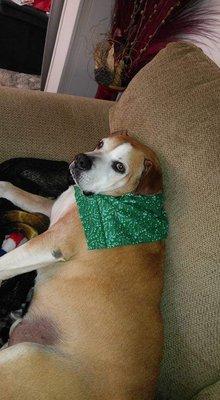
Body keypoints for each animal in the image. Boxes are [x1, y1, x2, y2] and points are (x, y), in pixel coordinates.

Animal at [0, 133, 167, 398]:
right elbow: (19, 193)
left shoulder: (52, 243)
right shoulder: (52, 208)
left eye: (119, 167)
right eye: (100, 144)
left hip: (26, 353)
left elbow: (4, 263)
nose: (80, 160)